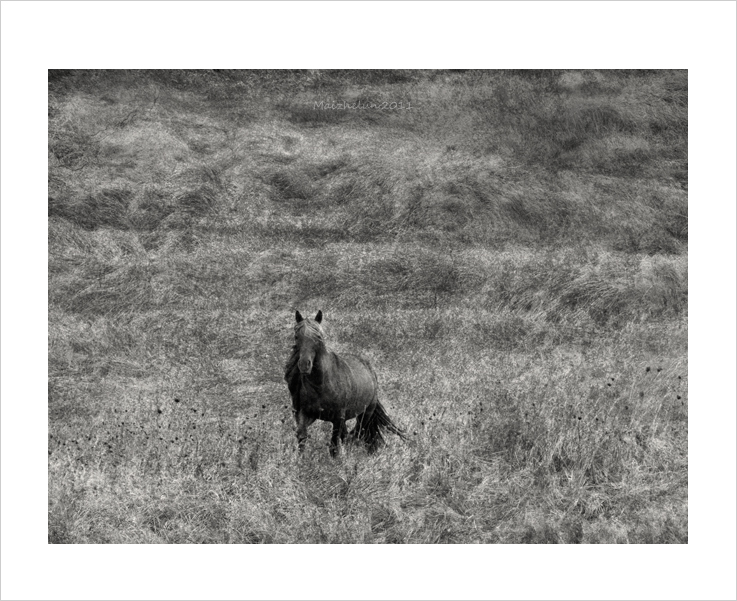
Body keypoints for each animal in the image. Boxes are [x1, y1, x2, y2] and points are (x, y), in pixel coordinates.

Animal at [284, 310, 406, 454]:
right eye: (296, 336)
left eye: (319, 336)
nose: (304, 365)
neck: (321, 385)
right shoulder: (305, 414)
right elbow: (302, 438)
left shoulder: (337, 418)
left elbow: (334, 447)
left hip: (365, 414)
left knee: (358, 433)